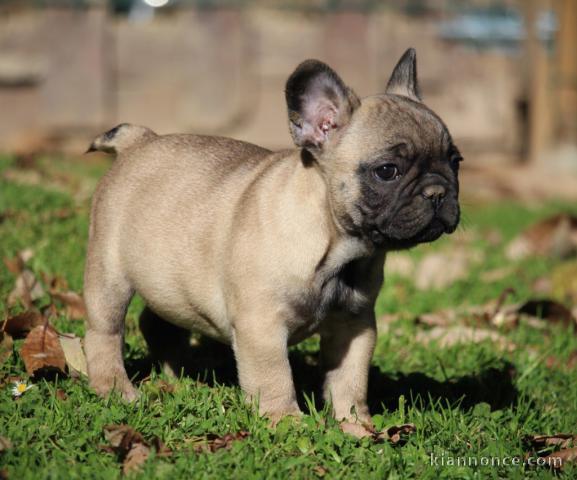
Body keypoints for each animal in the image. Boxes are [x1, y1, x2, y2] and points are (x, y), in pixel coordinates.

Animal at [83, 47, 460, 436]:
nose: (438, 191)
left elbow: (349, 379)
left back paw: (179, 379)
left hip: (168, 280)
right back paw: (115, 388)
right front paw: (286, 421)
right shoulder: (262, 327)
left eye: (455, 161)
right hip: (109, 276)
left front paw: (355, 425)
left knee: (158, 324)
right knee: (104, 333)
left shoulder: (355, 326)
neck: (337, 248)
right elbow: (274, 376)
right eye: (387, 171)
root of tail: (139, 139)